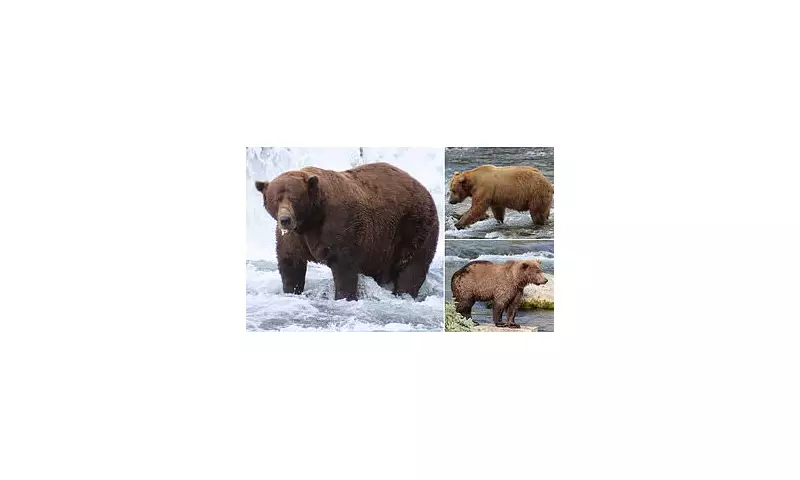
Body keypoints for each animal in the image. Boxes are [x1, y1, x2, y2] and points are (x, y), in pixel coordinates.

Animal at [254, 162, 439, 301]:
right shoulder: (294, 238)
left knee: (413, 265)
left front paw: (344, 296)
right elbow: (290, 263)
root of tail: (423, 188)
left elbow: (344, 267)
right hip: (382, 246)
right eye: (276, 199)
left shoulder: (340, 225)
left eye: (294, 198)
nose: (285, 219)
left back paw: (404, 293)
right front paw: (291, 290)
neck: (311, 220)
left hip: (414, 225)